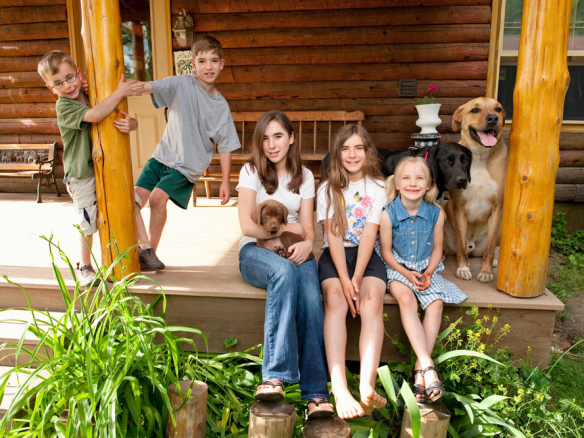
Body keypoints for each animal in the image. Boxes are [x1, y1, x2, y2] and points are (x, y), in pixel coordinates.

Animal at [443, 97, 507, 283]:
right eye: (475, 110)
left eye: (498, 108)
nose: (493, 118)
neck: (479, 157)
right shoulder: (459, 208)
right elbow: (461, 246)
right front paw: (463, 269)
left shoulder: (497, 207)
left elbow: (490, 248)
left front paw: (486, 272)